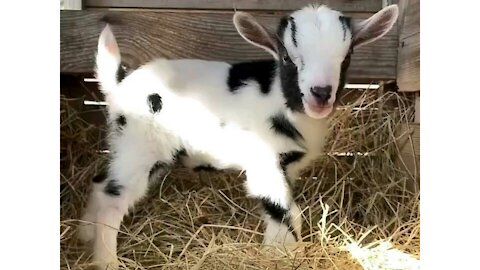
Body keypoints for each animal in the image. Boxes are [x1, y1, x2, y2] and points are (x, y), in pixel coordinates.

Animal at [79, 3, 400, 268]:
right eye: (287, 57)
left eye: (347, 57)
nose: (320, 94)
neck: (279, 99)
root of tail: (119, 84)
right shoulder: (264, 162)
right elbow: (284, 210)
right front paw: (283, 256)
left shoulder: (287, 168)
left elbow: (285, 211)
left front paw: (278, 252)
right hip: (140, 147)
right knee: (112, 199)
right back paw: (106, 261)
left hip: (131, 147)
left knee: (100, 183)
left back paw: (85, 234)